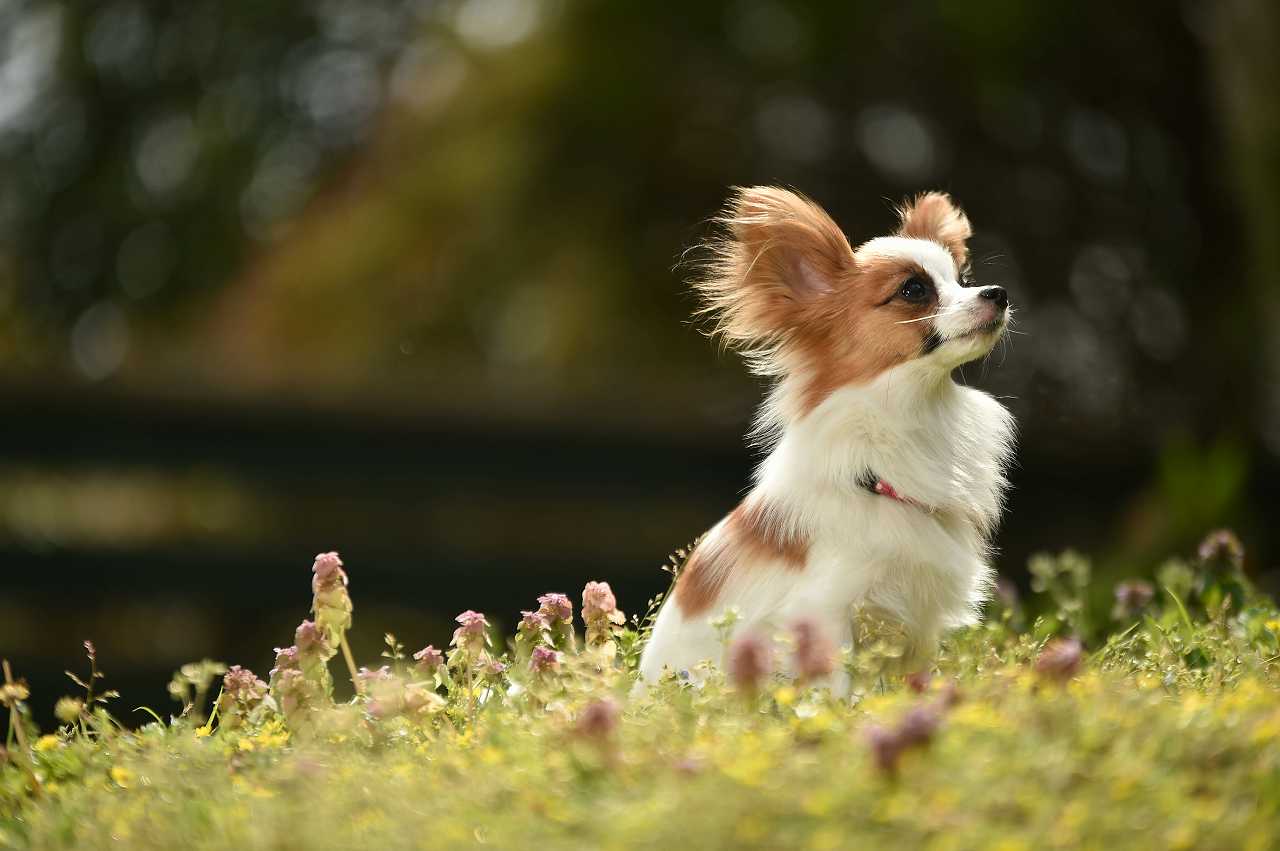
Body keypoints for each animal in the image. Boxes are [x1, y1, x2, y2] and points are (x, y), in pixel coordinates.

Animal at [640, 185, 1018, 685]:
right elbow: (834, 687)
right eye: (913, 290)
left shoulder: (917, 625)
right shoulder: (826, 612)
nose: (998, 292)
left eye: (962, 278)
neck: (917, 409)